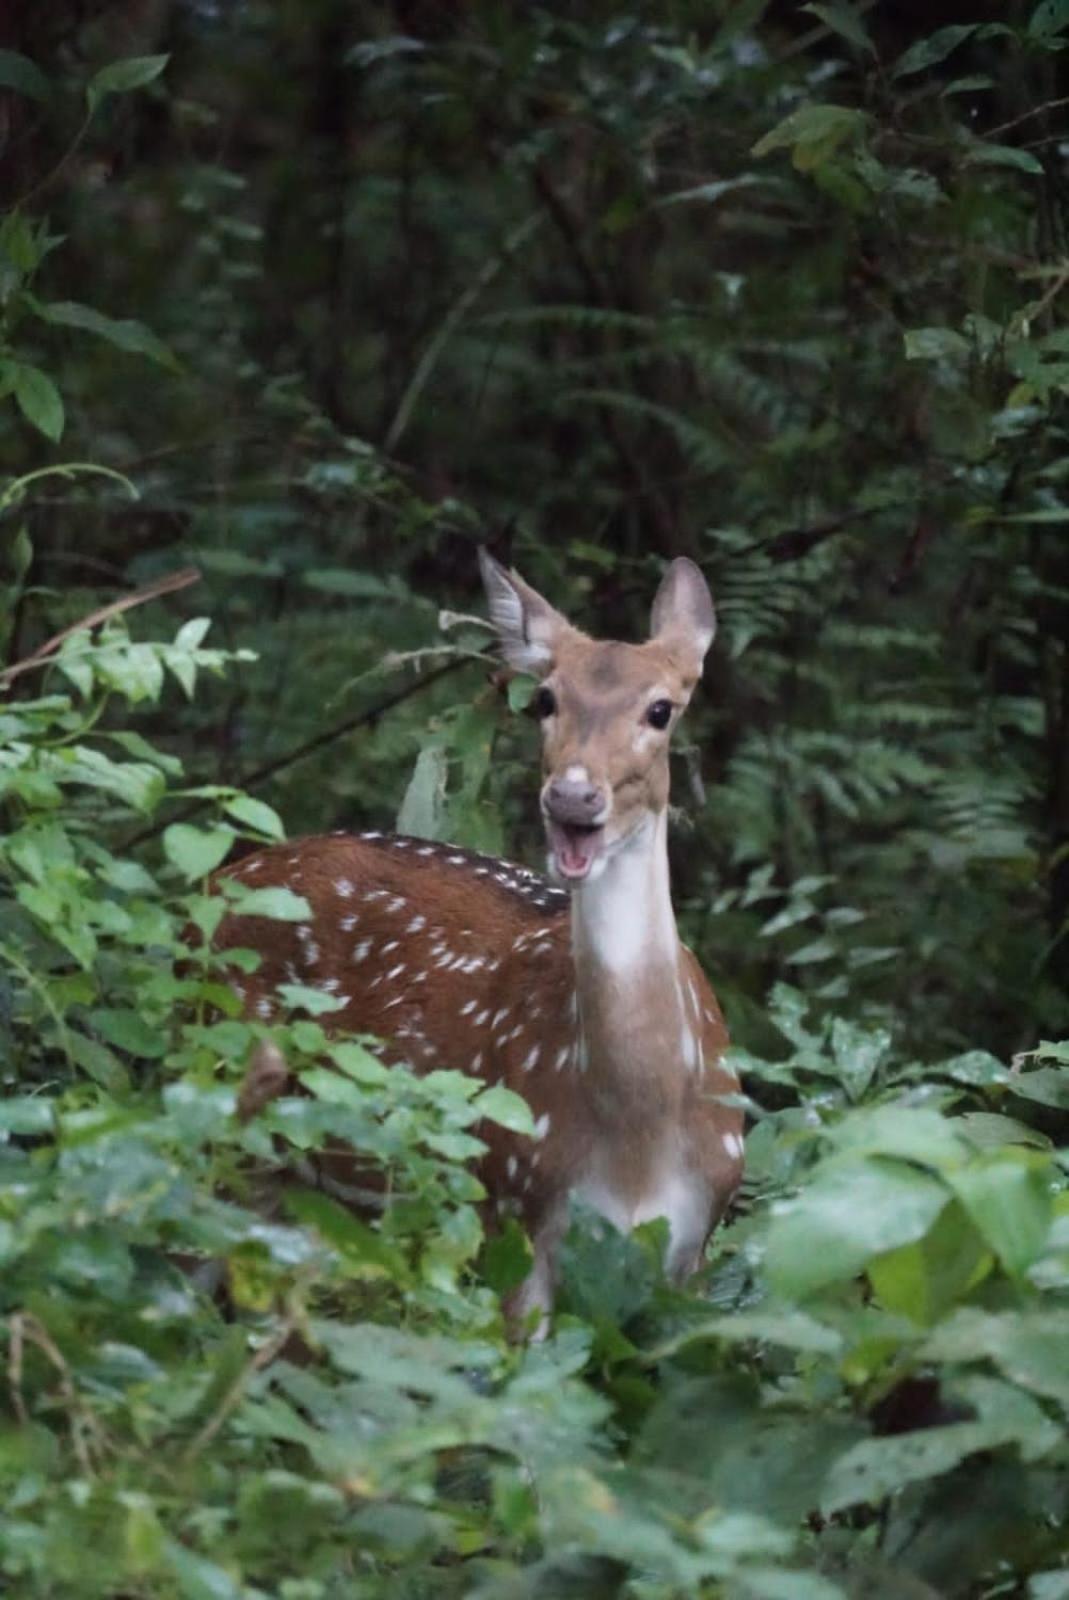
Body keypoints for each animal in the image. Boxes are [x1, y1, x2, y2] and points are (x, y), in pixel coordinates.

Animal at [214, 556, 748, 1331]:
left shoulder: (695, 1250)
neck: (638, 1141)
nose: (572, 797)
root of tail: (217, 879)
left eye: (660, 709)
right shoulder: (515, 1213)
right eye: (546, 699)